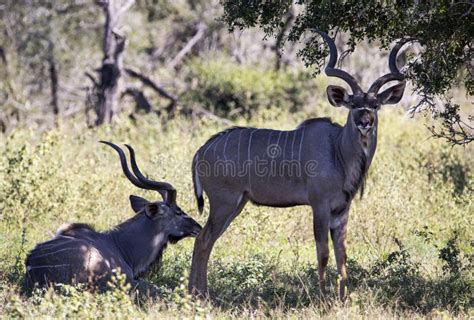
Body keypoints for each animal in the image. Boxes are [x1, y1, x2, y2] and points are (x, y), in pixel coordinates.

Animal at [189, 30, 412, 300]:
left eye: (375, 105)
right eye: (353, 105)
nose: (365, 122)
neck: (338, 151)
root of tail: (202, 150)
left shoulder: (341, 211)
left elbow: (342, 255)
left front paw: (343, 298)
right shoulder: (320, 205)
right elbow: (323, 253)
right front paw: (324, 298)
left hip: (237, 204)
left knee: (205, 240)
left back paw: (196, 293)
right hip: (224, 202)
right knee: (203, 239)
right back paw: (200, 295)